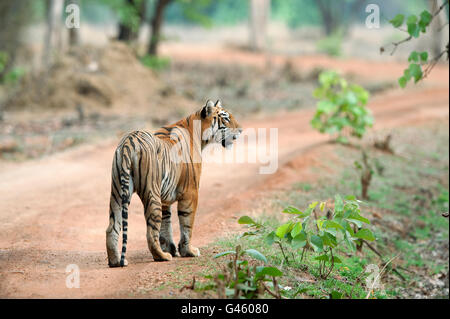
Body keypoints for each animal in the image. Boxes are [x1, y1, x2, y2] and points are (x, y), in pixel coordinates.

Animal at [106, 100, 243, 268]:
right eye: (226, 118)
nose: (241, 130)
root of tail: (129, 142)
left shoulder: (165, 198)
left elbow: (166, 225)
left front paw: (171, 248)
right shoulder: (191, 192)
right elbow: (187, 224)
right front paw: (188, 251)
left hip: (117, 191)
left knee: (112, 228)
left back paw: (116, 261)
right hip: (151, 192)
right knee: (151, 231)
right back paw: (162, 256)